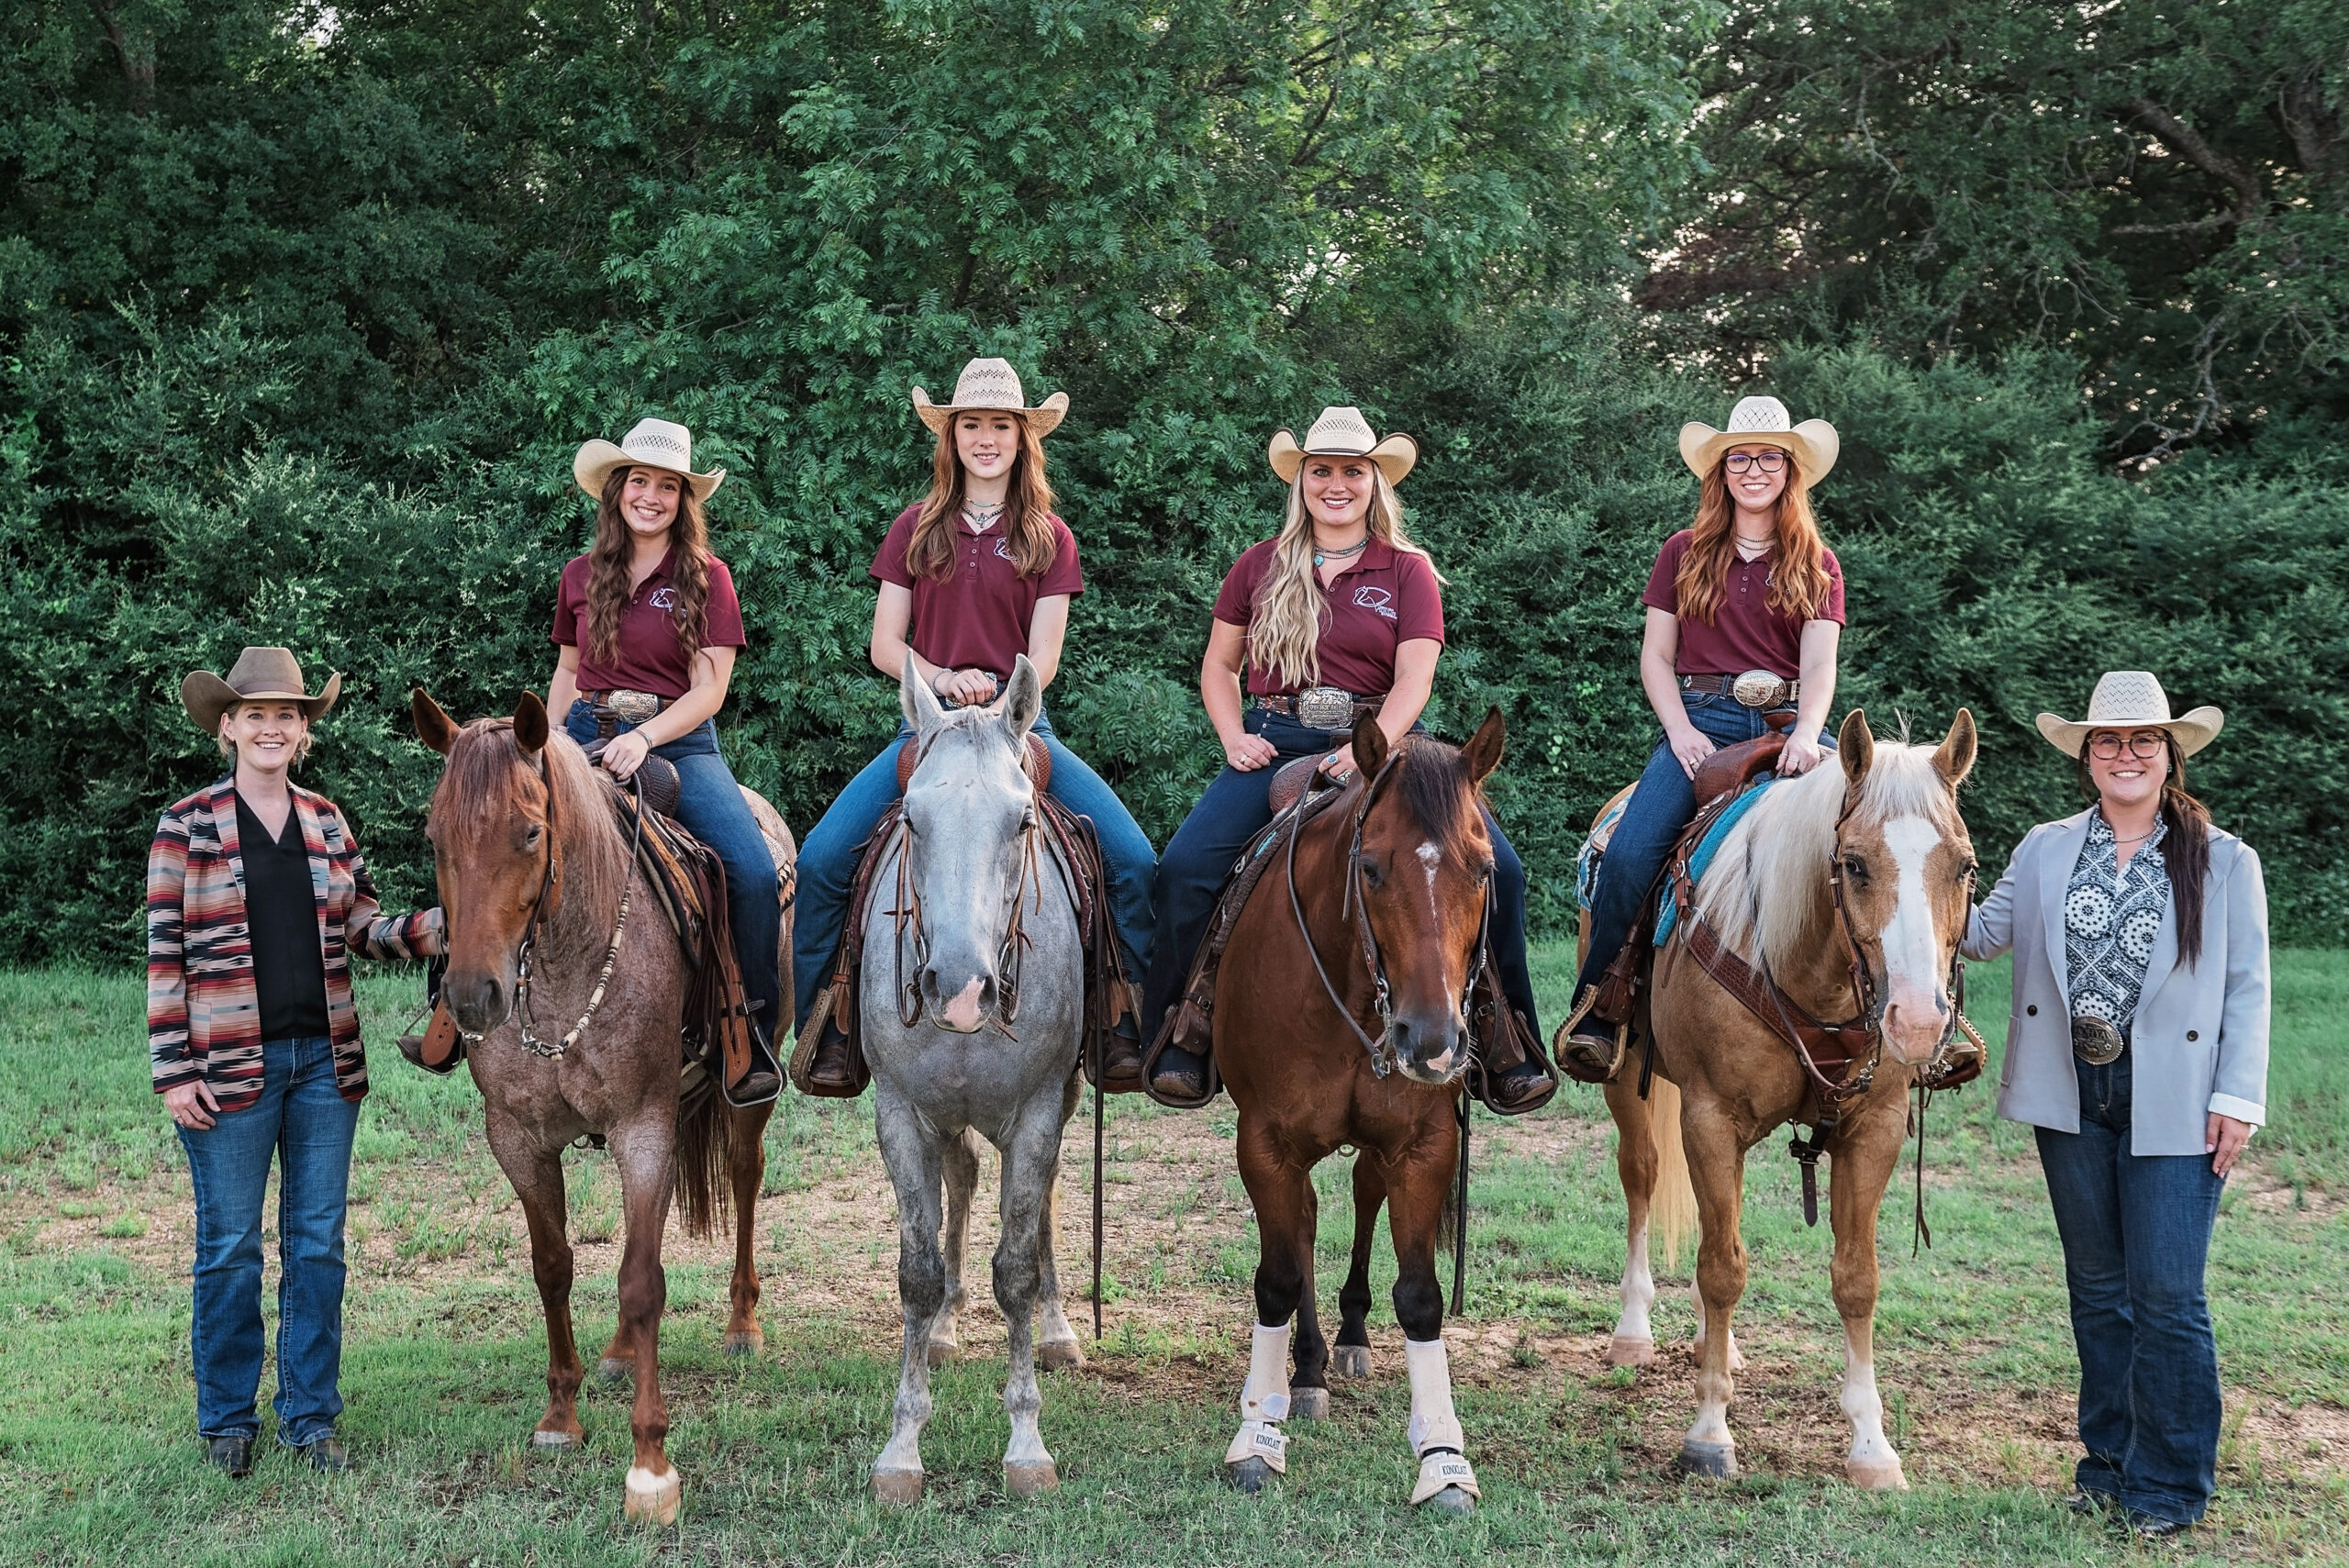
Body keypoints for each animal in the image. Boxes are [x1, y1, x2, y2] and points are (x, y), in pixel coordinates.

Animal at [413, 690, 789, 1520]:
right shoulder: (518, 1138)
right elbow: (554, 1265)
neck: (565, 967)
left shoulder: (644, 1127)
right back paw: (618, 1351)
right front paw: (561, 1415)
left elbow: (643, 1281)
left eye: (529, 830)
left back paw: (743, 1322)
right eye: (434, 834)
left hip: (744, 1090)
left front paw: (651, 1465)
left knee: (744, 1173)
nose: (472, 995)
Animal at [864, 652, 1080, 1502]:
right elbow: (918, 1273)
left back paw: (1057, 1328)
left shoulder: (1039, 1111)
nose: (958, 990)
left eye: (1020, 822)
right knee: (960, 1177)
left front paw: (1027, 1440)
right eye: (911, 818)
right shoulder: (900, 1113)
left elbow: (1015, 1268)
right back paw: (949, 1327)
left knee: (1040, 1203)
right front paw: (902, 1445)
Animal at [1211, 713, 1503, 1520]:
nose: (1431, 1039)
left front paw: (1443, 1457)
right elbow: (1278, 1278)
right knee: (1307, 1221)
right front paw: (1258, 1435)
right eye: (1370, 868)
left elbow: (1422, 1298)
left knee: (1360, 1194)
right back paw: (1306, 1370)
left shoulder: (1424, 1145)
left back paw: (1346, 1335)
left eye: (1483, 869)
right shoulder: (1264, 1142)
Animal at [1597, 708, 1982, 1483]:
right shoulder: (1710, 1117)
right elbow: (1722, 1268)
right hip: (1629, 1079)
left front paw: (1871, 1443)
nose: (1918, 1022)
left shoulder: (1876, 1127)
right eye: (1854, 863)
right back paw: (1634, 1329)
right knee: (1643, 1176)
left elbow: (1856, 1277)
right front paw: (1709, 1431)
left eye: (1964, 865)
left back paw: (1717, 1343)